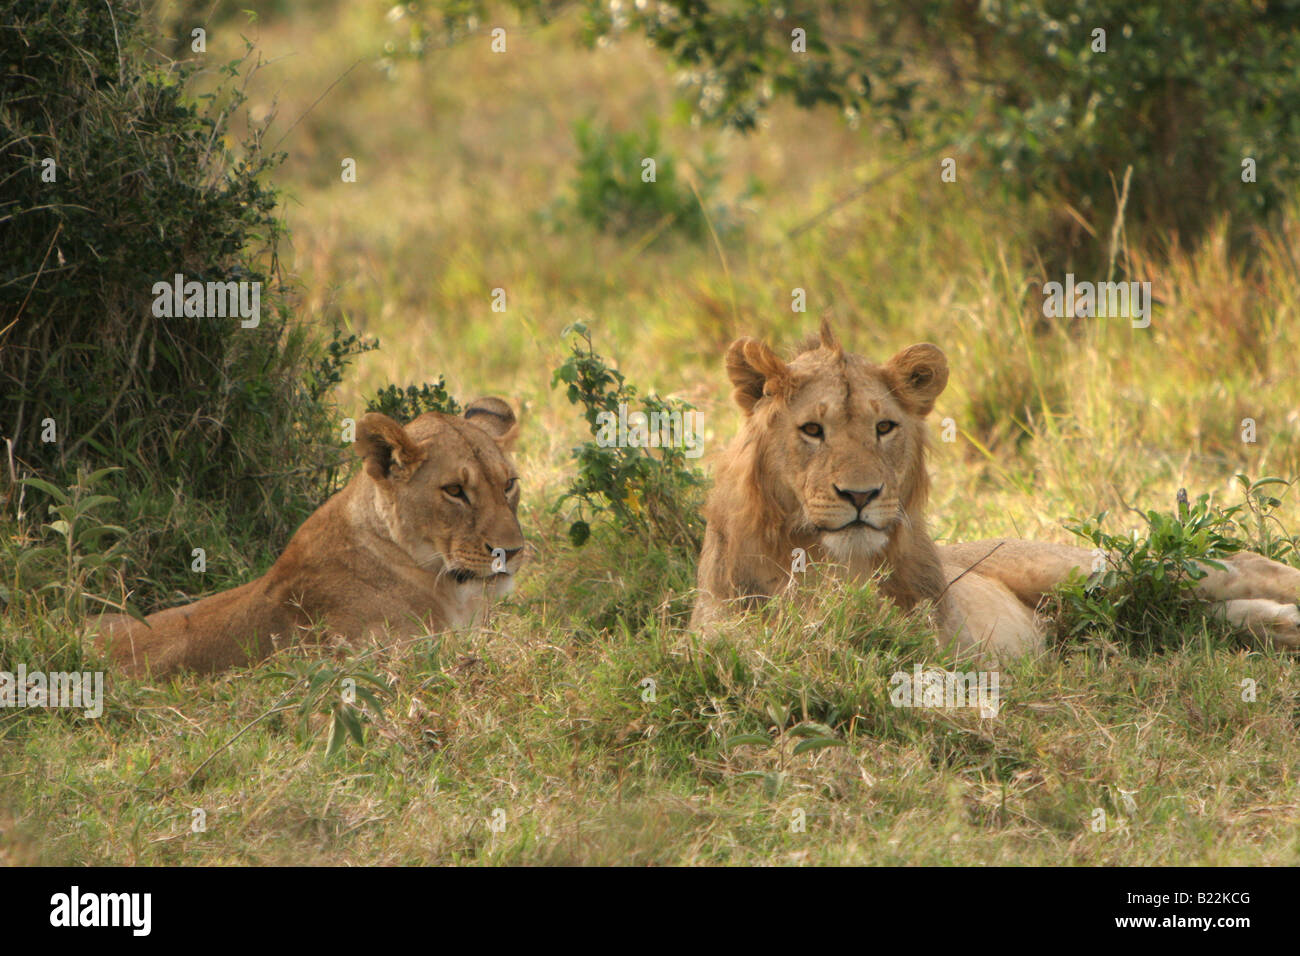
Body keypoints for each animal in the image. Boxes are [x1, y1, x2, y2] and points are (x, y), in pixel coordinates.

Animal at [696, 325, 1300, 660]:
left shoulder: (937, 636)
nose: (861, 495)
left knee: (1223, 566)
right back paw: (1279, 628)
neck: (836, 564)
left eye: (884, 427)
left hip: (1078, 571)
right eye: (812, 430)